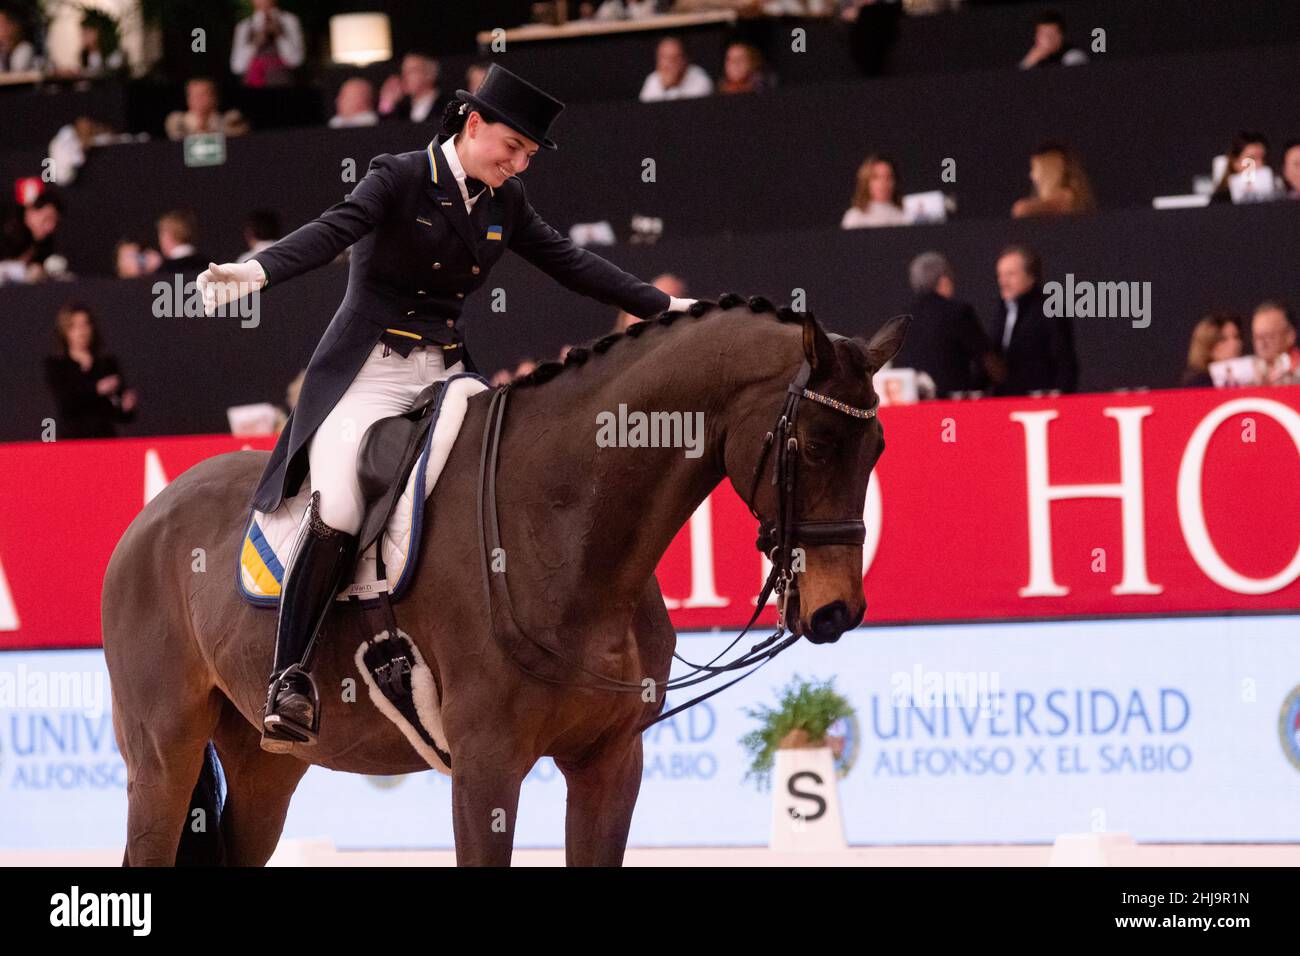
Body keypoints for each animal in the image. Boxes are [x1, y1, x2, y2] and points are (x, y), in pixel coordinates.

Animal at [101, 297, 904, 868]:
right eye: (812, 446)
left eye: (877, 449)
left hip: (266, 764)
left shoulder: (610, 761)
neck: (566, 529)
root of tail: (152, 515)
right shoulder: (485, 770)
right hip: (163, 755)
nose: (837, 611)